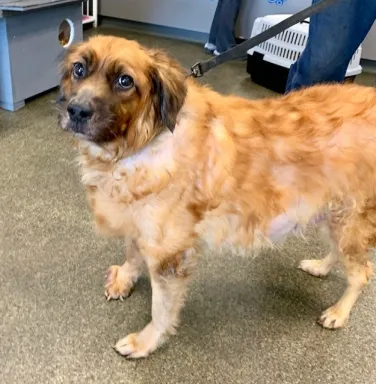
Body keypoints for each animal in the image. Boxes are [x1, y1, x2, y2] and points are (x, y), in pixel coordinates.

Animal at [57, 34, 376, 358]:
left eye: (125, 81)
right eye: (79, 69)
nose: (77, 111)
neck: (146, 141)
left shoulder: (169, 254)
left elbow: (161, 310)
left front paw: (145, 342)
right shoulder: (141, 225)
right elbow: (132, 252)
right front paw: (125, 277)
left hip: (349, 219)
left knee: (362, 272)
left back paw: (338, 312)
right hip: (332, 215)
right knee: (341, 254)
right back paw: (320, 267)